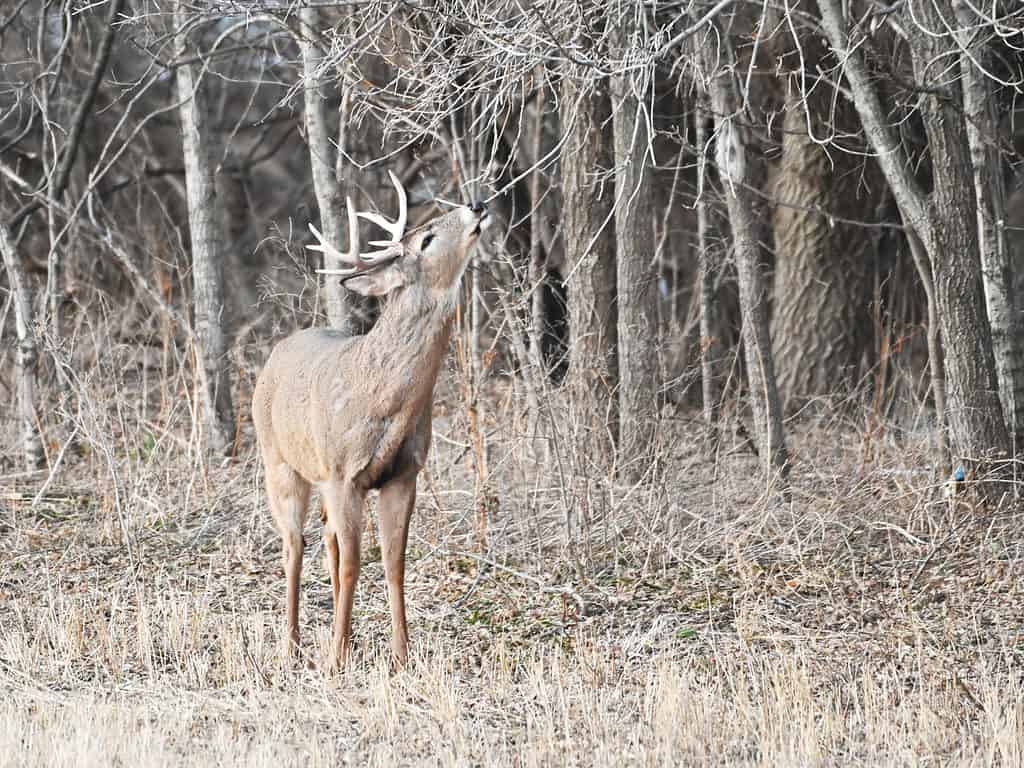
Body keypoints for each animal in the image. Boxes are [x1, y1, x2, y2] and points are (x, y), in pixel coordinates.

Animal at [249, 173, 485, 667]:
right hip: (279, 462)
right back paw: (293, 645)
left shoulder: (403, 473)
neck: (384, 400)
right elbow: (356, 564)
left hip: (318, 478)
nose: (477, 204)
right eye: (427, 238)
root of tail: (277, 352)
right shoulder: (344, 474)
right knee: (294, 548)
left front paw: (402, 654)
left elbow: (394, 562)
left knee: (327, 543)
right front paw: (337, 658)